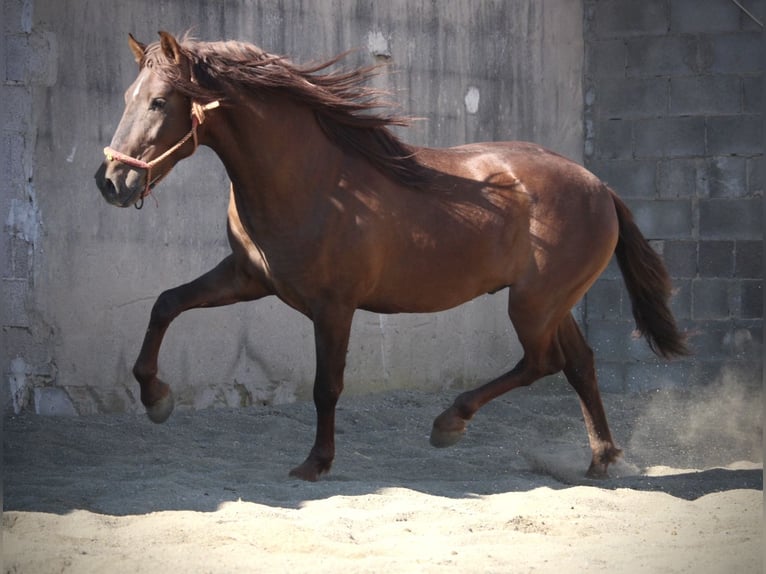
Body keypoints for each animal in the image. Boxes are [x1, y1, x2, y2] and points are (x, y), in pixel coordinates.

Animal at [95, 31, 688, 481]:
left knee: (544, 363)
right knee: (580, 363)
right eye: (126, 96)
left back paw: (450, 423)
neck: (312, 180)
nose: (111, 182)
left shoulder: (334, 307)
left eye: (159, 102)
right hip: (550, 303)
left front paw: (315, 463)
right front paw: (156, 398)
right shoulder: (246, 277)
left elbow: (326, 386)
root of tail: (600, 186)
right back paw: (600, 459)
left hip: (533, 304)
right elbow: (166, 304)